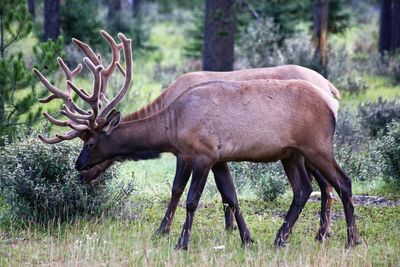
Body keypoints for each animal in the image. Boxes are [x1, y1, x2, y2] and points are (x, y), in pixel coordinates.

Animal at [35, 30, 360, 250]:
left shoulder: (201, 154)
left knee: (341, 183)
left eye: (90, 143)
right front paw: (246, 238)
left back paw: (350, 239)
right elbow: (229, 196)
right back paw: (283, 237)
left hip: (316, 146)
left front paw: (179, 240)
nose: (79, 168)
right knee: (304, 189)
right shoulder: (216, 158)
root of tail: (332, 97)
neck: (172, 123)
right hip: (290, 153)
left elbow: (188, 197)